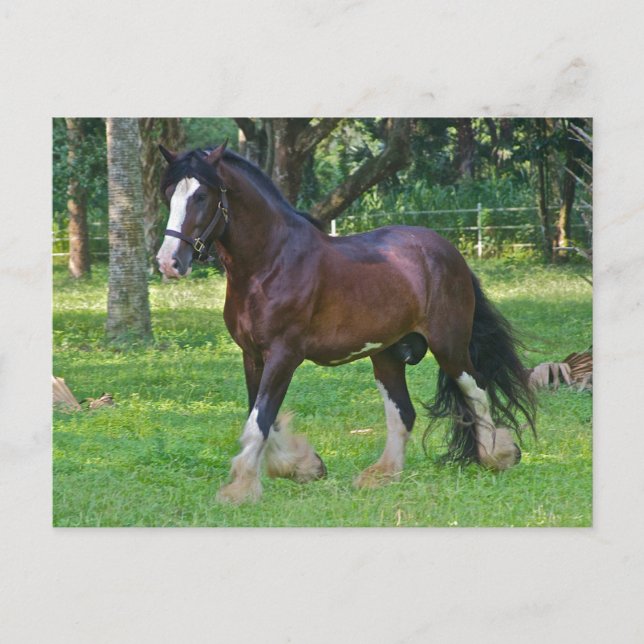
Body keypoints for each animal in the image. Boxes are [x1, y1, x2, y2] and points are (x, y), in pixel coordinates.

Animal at [156, 142, 536, 504]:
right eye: (168, 193)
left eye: (201, 195)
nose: (169, 262)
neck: (271, 263)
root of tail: (449, 252)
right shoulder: (252, 355)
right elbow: (261, 416)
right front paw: (303, 466)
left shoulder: (283, 356)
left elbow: (259, 420)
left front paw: (240, 489)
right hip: (387, 355)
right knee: (404, 413)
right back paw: (381, 475)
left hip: (449, 346)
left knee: (476, 391)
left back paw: (497, 455)